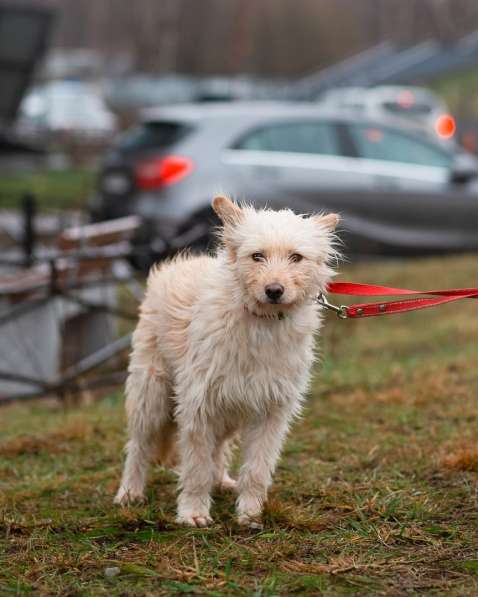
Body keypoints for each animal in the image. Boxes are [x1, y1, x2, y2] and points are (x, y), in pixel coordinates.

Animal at [115, 194, 340, 528]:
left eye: (296, 257)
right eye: (257, 256)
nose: (274, 291)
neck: (262, 322)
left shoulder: (270, 409)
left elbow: (257, 468)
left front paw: (250, 512)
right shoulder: (198, 404)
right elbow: (195, 466)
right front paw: (193, 512)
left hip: (231, 405)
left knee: (218, 447)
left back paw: (220, 480)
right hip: (151, 394)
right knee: (139, 446)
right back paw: (130, 492)